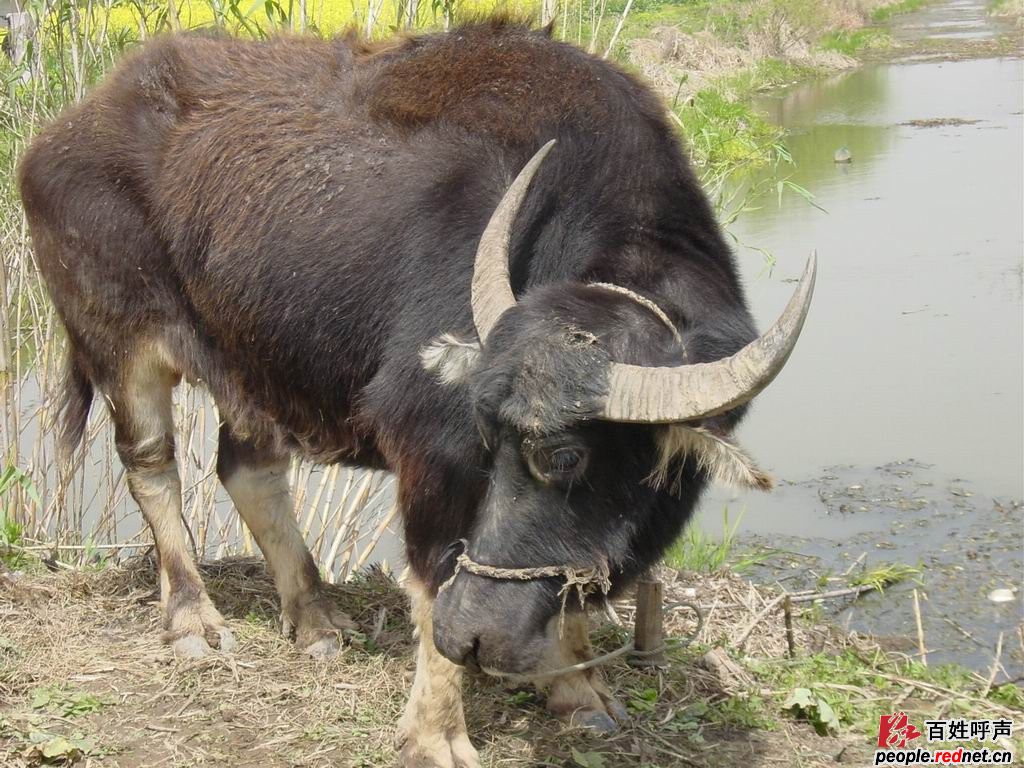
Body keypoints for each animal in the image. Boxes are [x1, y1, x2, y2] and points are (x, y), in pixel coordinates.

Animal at [16, 18, 815, 768]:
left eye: (564, 457)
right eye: (488, 440)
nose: (475, 635)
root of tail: (63, 132)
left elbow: (567, 590)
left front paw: (579, 689)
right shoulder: (431, 449)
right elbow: (431, 580)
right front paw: (437, 736)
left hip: (253, 360)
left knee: (249, 469)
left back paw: (316, 619)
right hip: (121, 341)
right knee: (153, 465)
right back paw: (192, 621)